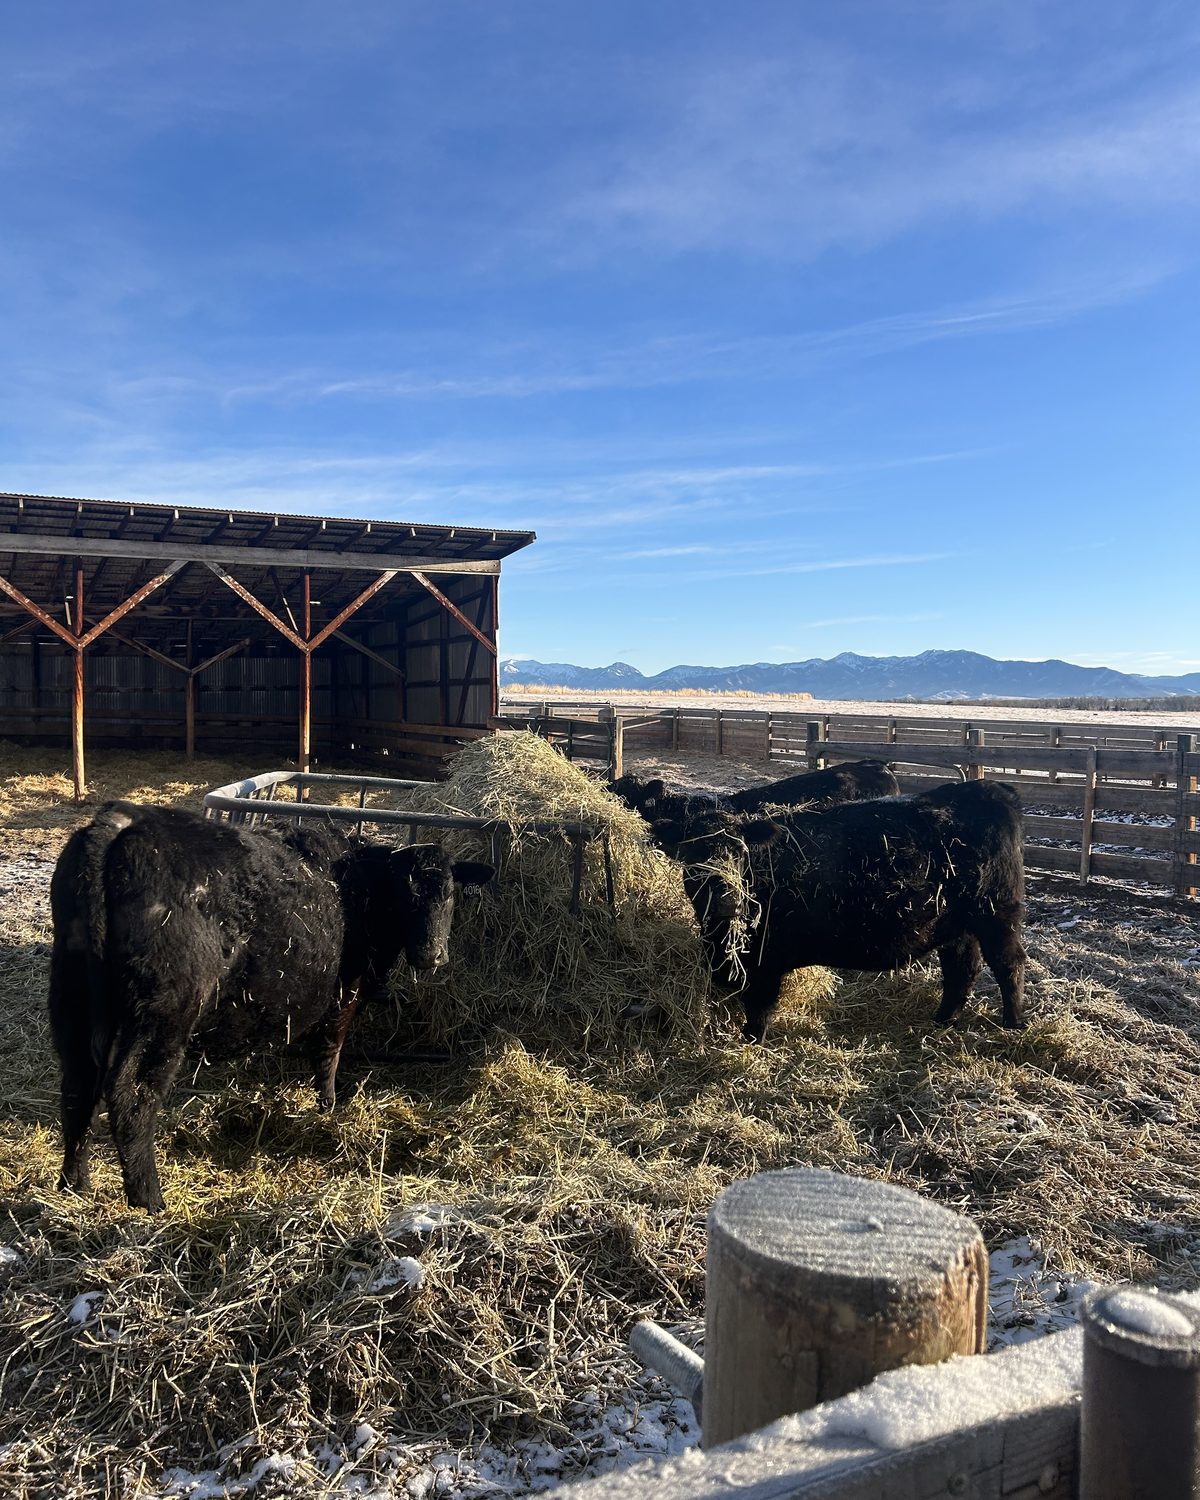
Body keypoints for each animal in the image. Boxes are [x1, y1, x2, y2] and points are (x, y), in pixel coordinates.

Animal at [48, 802, 492, 1211]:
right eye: (406, 894)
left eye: (450, 894)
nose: (432, 956)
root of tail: (121, 822)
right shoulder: (345, 994)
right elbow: (328, 1053)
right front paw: (328, 1108)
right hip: (162, 1014)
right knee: (131, 1095)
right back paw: (150, 1200)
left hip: (72, 1001)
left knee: (77, 1089)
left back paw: (74, 1183)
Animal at [655, 779, 1026, 1045]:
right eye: (692, 855)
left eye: (739, 853)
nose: (726, 898)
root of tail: (991, 789)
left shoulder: (767, 961)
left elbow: (759, 1008)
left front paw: (750, 1043)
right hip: (956, 924)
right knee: (962, 968)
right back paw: (943, 1020)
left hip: (996, 914)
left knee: (1008, 964)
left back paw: (1014, 1025)